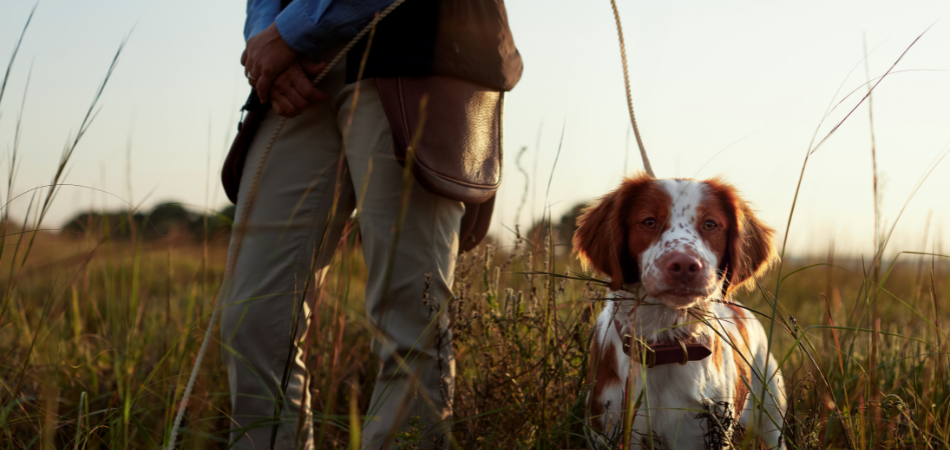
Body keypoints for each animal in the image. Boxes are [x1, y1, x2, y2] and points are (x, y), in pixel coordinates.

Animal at [576, 175, 792, 450]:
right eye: (649, 222)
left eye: (710, 224)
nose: (686, 264)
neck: (664, 343)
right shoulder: (608, 426)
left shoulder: (703, 431)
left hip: (772, 416)